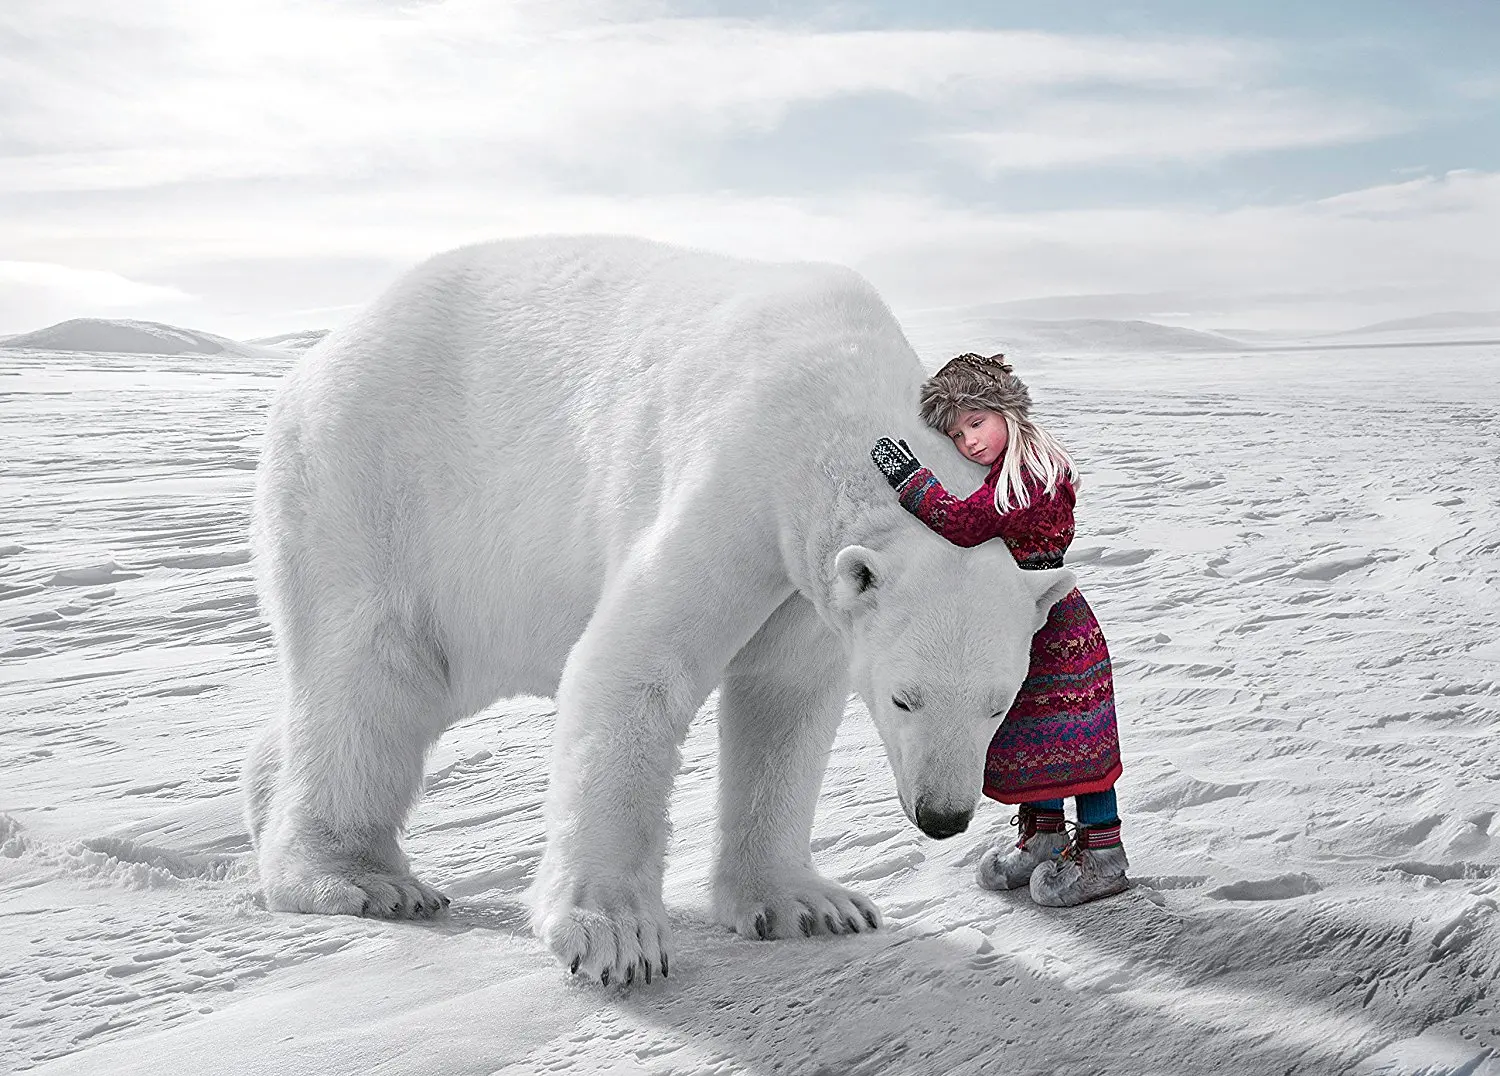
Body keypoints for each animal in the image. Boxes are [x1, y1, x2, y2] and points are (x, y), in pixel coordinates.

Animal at [249, 235, 1080, 984]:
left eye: (999, 703)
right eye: (905, 698)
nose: (944, 816)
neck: (839, 396)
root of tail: (319, 357)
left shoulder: (806, 585)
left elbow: (784, 701)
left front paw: (809, 905)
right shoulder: (738, 477)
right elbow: (638, 668)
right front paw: (613, 936)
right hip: (376, 488)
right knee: (372, 676)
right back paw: (359, 878)